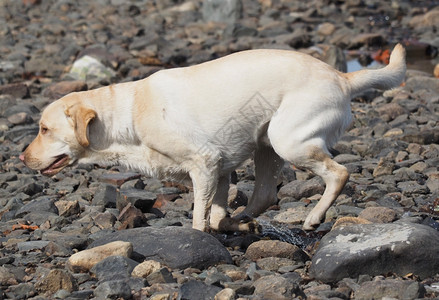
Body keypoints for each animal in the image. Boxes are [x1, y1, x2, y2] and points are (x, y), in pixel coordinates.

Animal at [19, 44, 406, 232]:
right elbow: (216, 212)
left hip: (288, 139)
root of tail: (342, 77)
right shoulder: (219, 169)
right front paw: (227, 223)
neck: (127, 114)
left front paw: (199, 237)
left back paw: (313, 218)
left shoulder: (204, 162)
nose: (21, 158)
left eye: (44, 129)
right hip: (267, 143)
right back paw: (244, 220)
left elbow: (199, 216)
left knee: (339, 173)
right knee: (264, 195)